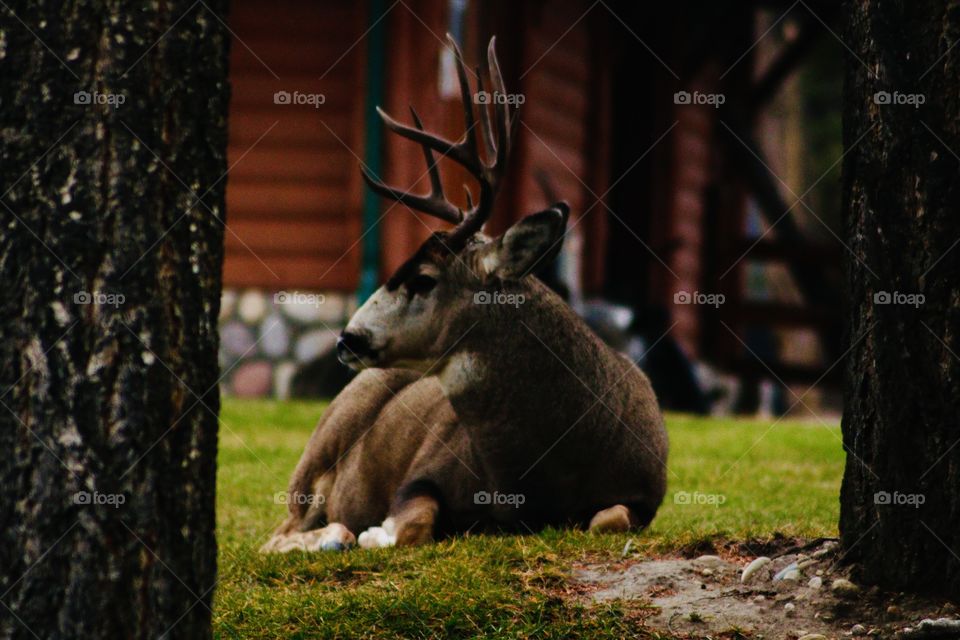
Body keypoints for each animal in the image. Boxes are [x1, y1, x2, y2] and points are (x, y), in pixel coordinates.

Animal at [262, 36, 668, 556]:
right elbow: (413, 522)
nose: (346, 338)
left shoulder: (644, 495)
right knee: (279, 534)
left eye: (423, 279)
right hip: (320, 446)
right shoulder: (424, 471)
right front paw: (375, 532)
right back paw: (338, 534)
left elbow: (607, 519)